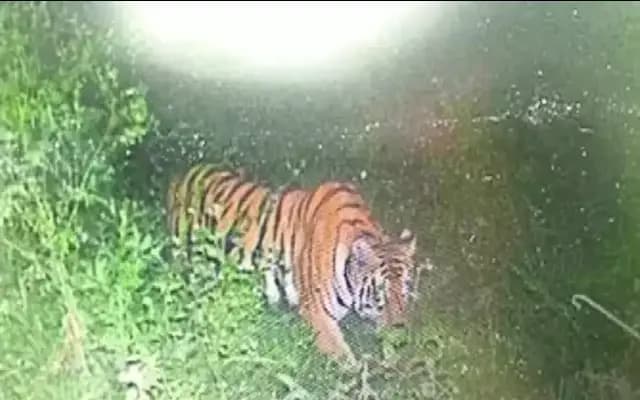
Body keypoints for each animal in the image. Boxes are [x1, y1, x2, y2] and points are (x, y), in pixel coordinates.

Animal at [166, 163, 418, 366]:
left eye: (406, 289)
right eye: (379, 293)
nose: (401, 334)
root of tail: (186, 172)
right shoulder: (318, 313)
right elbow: (346, 360)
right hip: (188, 260)